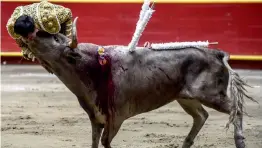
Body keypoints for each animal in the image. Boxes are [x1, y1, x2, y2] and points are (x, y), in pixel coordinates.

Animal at [23, 17, 256, 148]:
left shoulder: (115, 117)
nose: (31, 29)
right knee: (201, 116)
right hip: (185, 97)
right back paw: (185, 144)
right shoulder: (95, 118)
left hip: (210, 94)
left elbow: (105, 143)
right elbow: (94, 143)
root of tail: (216, 53)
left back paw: (240, 142)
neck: (92, 67)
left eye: (56, 39)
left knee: (235, 109)